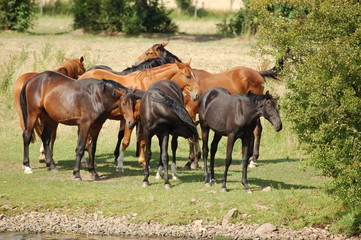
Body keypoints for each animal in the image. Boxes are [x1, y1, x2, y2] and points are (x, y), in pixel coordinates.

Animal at [136, 41, 280, 169]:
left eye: (148, 52)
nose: (136, 62)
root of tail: (258, 73)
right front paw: (193, 160)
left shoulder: (190, 111)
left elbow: (192, 135)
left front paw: (192, 162)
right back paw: (249, 157)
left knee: (257, 130)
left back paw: (253, 159)